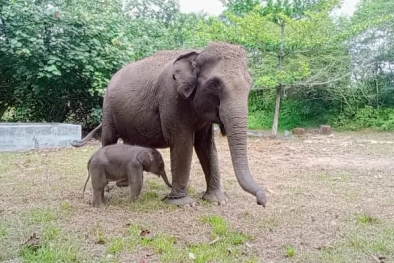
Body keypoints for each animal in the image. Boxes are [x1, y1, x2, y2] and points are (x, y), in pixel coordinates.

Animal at [71, 41, 268, 208]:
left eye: (250, 83)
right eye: (214, 84)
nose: (262, 201)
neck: (197, 54)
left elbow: (206, 146)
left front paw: (217, 201)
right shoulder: (172, 98)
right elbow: (183, 143)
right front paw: (183, 204)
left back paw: (124, 184)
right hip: (108, 108)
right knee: (109, 138)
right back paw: (111, 187)